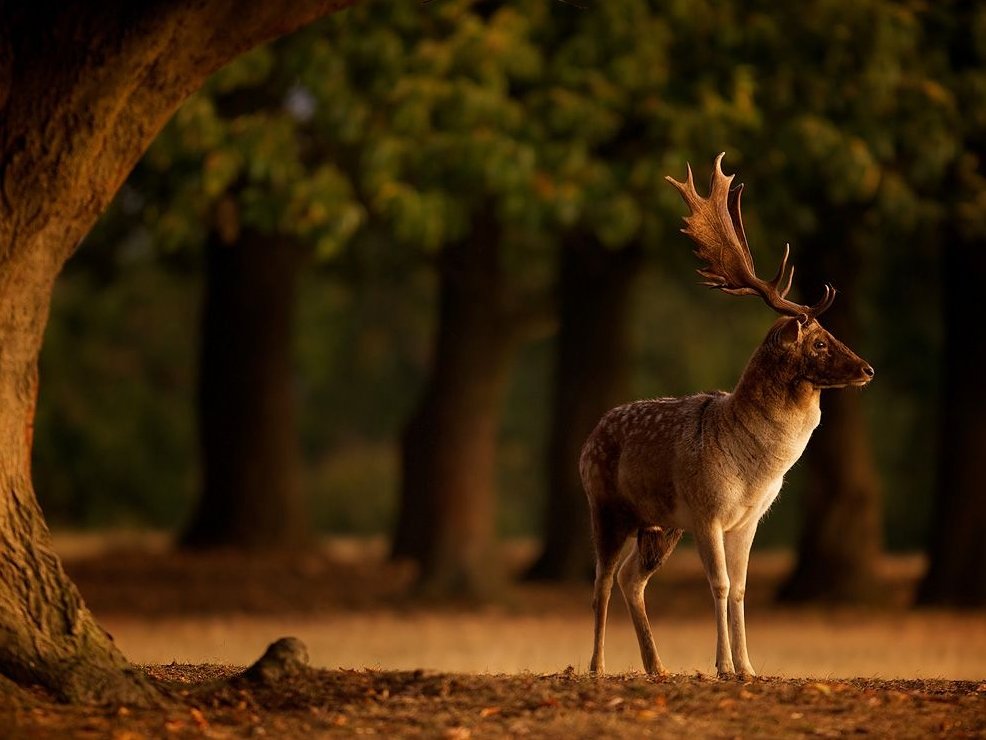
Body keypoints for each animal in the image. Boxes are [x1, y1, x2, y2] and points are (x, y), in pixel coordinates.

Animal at [581, 153, 875, 678]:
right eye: (820, 342)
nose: (867, 369)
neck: (755, 470)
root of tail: (588, 438)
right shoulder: (708, 510)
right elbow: (717, 586)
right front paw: (721, 665)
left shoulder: (747, 519)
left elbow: (739, 589)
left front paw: (747, 667)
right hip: (607, 505)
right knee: (601, 583)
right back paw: (596, 666)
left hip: (661, 523)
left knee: (632, 578)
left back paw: (657, 666)